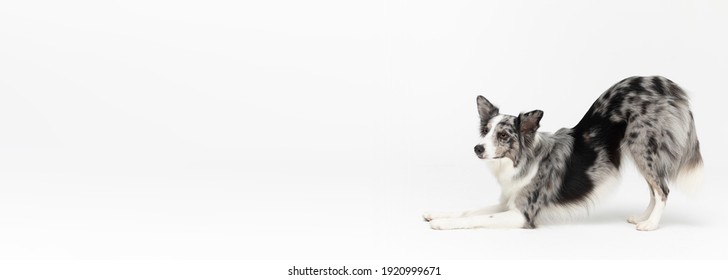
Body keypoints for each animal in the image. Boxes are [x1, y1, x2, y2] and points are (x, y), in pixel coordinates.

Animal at [424, 75, 704, 231]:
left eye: (503, 136)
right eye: (485, 131)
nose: (478, 148)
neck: (522, 161)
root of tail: (666, 86)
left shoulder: (523, 214)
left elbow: (476, 218)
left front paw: (442, 224)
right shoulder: (508, 201)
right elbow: (469, 211)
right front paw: (436, 213)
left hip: (643, 147)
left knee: (663, 190)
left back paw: (651, 224)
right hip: (640, 152)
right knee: (654, 190)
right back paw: (642, 217)